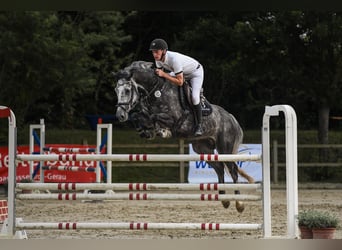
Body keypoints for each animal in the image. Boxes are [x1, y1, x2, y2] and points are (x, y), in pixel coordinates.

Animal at [113, 60, 255, 211]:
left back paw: (239, 203)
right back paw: (224, 200)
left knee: (232, 170)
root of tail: (231, 118)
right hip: (203, 149)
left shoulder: (174, 119)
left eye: (127, 90)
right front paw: (145, 130)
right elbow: (138, 116)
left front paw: (160, 131)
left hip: (225, 149)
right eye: (116, 90)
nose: (120, 115)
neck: (156, 90)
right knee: (219, 168)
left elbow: (154, 117)